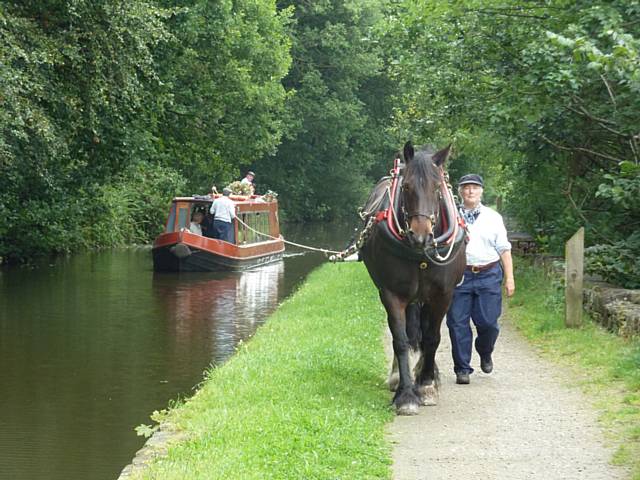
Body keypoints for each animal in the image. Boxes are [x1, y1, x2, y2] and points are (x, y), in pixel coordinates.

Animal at [360, 141, 464, 414]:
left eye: (437, 188)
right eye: (406, 187)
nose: (420, 236)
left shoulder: (443, 294)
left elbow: (433, 337)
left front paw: (426, 384)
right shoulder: (391, 293)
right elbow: (400, 339)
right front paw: (406, 394)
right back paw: (399, 377)